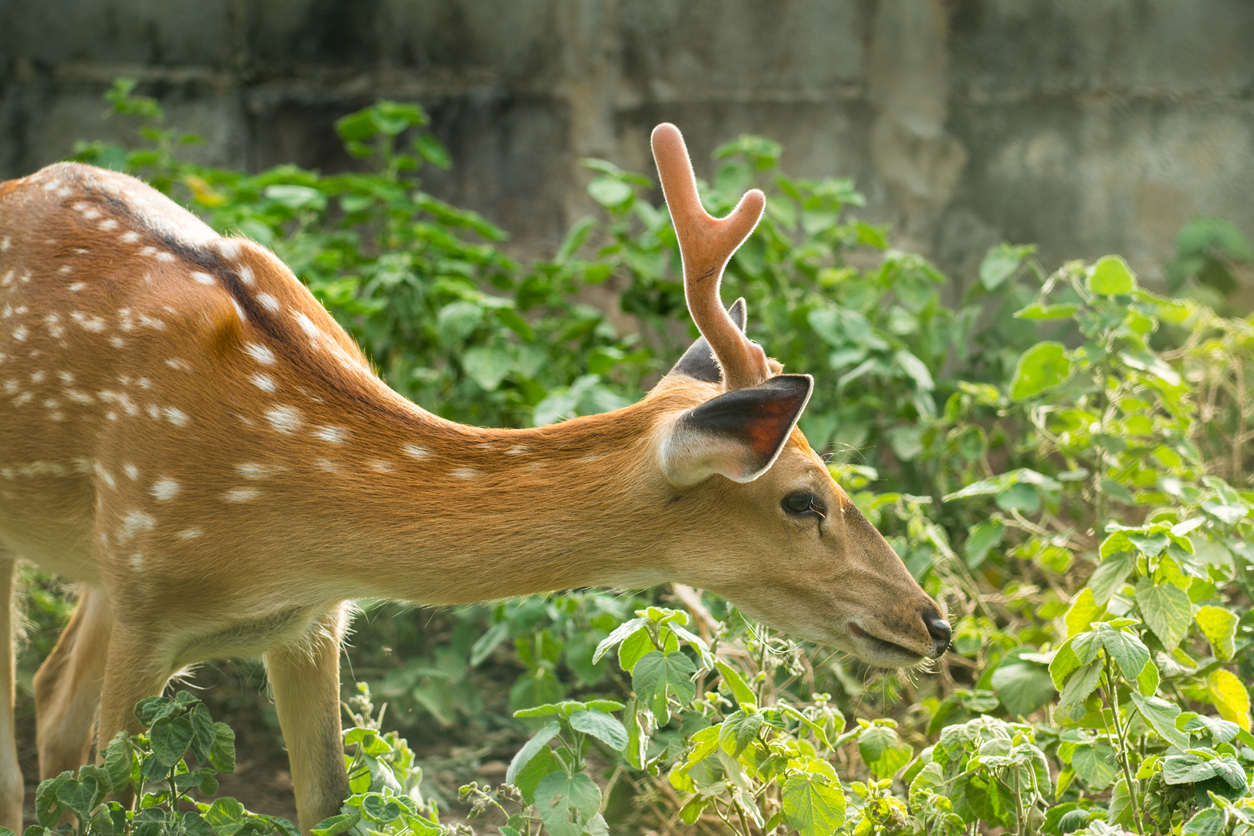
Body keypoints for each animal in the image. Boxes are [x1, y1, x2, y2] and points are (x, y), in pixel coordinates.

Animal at [0, 122, 948, 832]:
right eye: (803, 498)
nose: (933, 623)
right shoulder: (150, 593)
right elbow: (117, 799)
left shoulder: (309, 620)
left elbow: (328, 804)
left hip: (99, 562)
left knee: (51, 695)